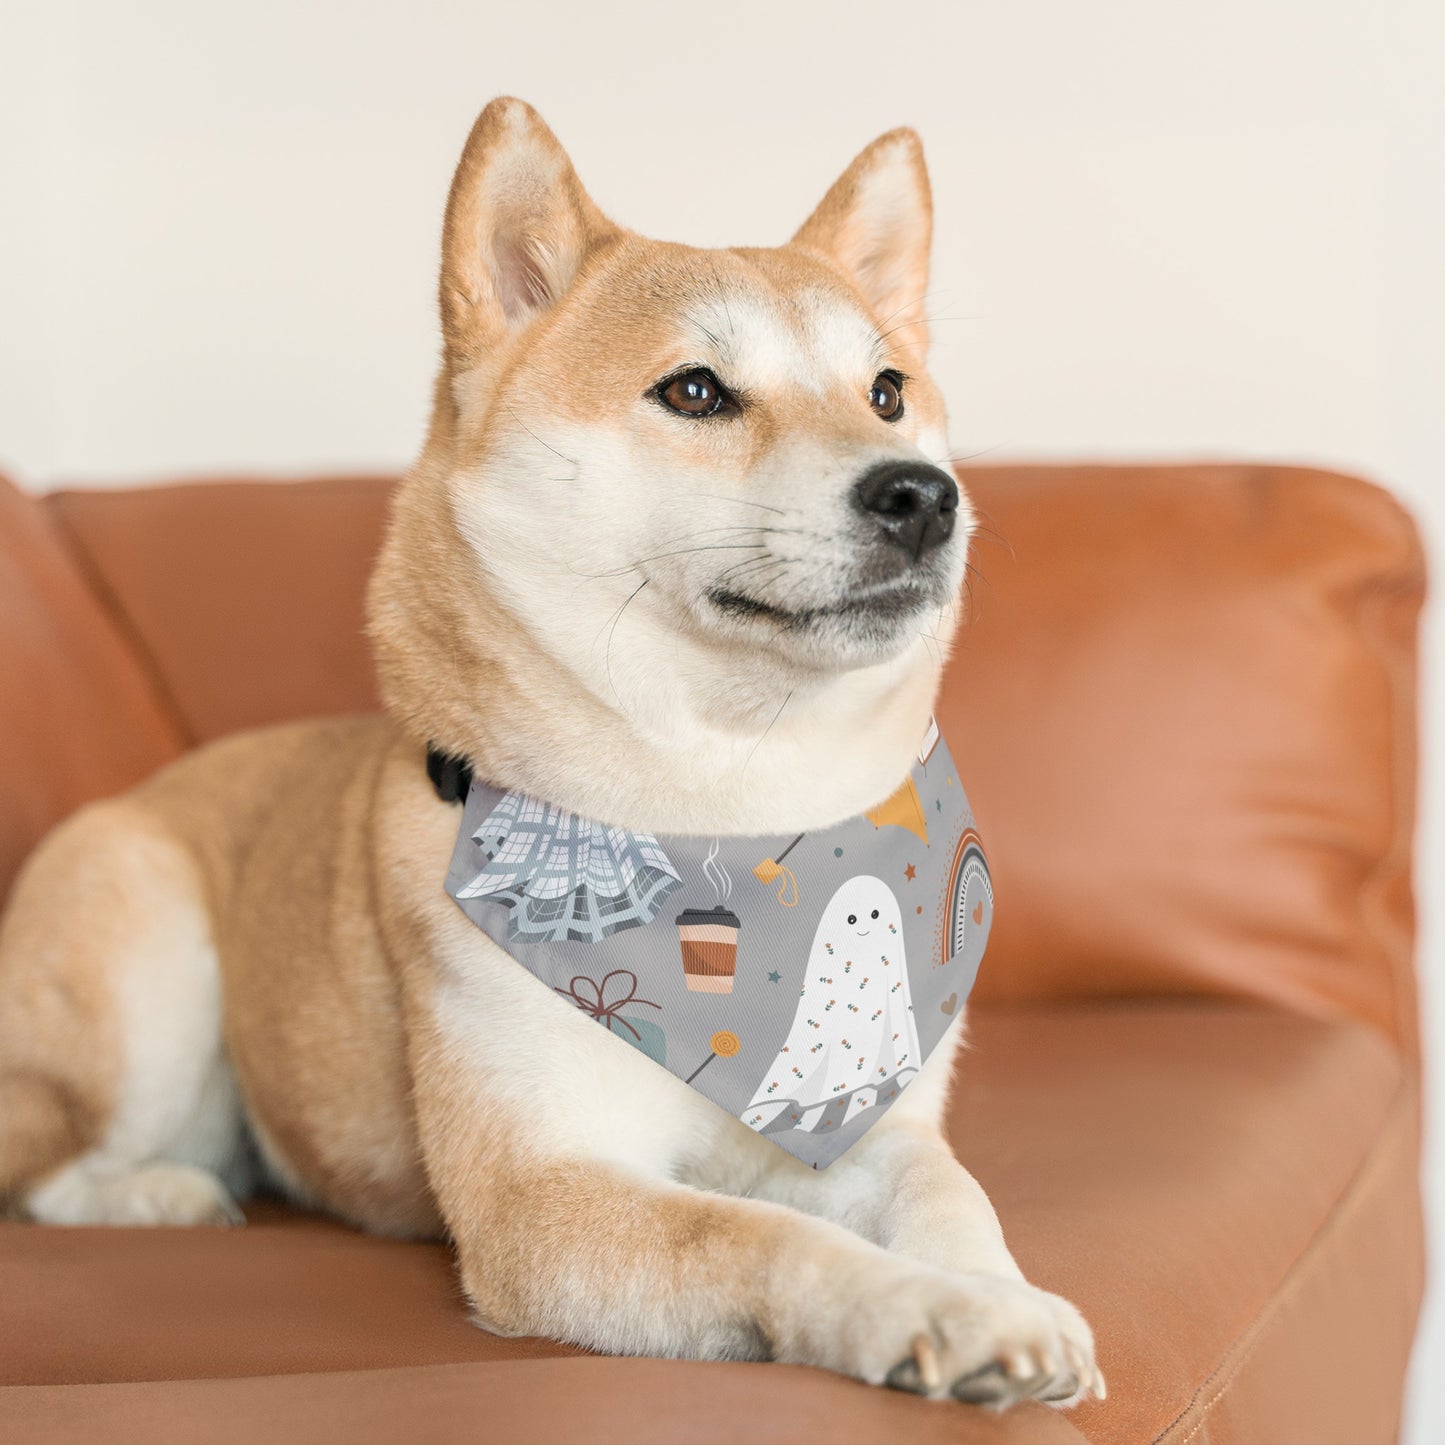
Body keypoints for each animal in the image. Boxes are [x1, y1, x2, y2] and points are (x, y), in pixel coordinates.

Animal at [0, 96, 1098, 1404]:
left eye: (886, 390)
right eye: (694, 390)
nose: (923, 494)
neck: (731, 811)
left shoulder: (871, 1118)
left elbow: (948, 1191)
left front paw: (1003, 1293)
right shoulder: (542, 1194)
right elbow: (765, 1235)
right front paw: (927, 1308)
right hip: (146, 967)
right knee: (48, 1167)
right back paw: (163, 1192)